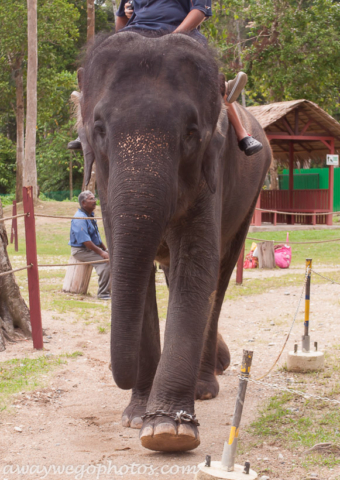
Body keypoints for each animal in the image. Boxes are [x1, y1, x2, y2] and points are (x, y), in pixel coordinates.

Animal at [79, 31, 270, 454]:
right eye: (99, 129)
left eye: (191, 133)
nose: (121, 374)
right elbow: (131, 265)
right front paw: (136, 417)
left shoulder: (214, 170)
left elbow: (197, 264)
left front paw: (169, 431)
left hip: (251, 191)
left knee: (220, 276)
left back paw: (204, 387)